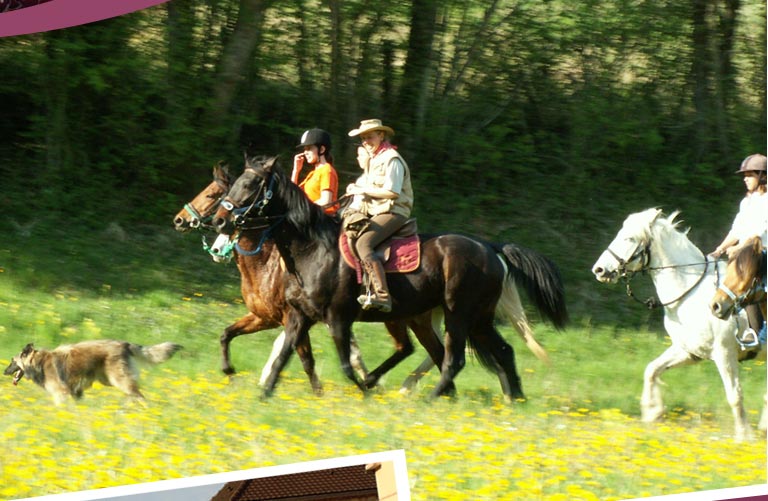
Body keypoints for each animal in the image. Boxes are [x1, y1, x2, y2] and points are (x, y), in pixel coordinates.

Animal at [3, 338, 183, 404]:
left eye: (12, 361)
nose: (4, 372)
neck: (38, 362)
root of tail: (124, 343)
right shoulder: (76, 393)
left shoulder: (61, 394)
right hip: (109, 380)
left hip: (119, 380)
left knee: (139, 395)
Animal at [213, 154, 568, 400]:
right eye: (233, 184)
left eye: (250, 185)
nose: (219, 221)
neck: (312, 249)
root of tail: (490, 248)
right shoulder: (299, 316)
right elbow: (286, 356)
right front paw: (263, 394)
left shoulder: (337, 317)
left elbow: (344, 364)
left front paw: (365, 391)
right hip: (474, 318)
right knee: (498, 351)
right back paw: (513, 397)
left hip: (458, 314)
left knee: (452, 359)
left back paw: (431, 397)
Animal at [592, 208, 760, 442]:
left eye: (630, 238)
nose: (599, 270)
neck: (690, 291)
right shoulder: (688, 351)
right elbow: (652, 369)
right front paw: (652, 412)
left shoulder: (724, 353)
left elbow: (734, 395)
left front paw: (745, 437)